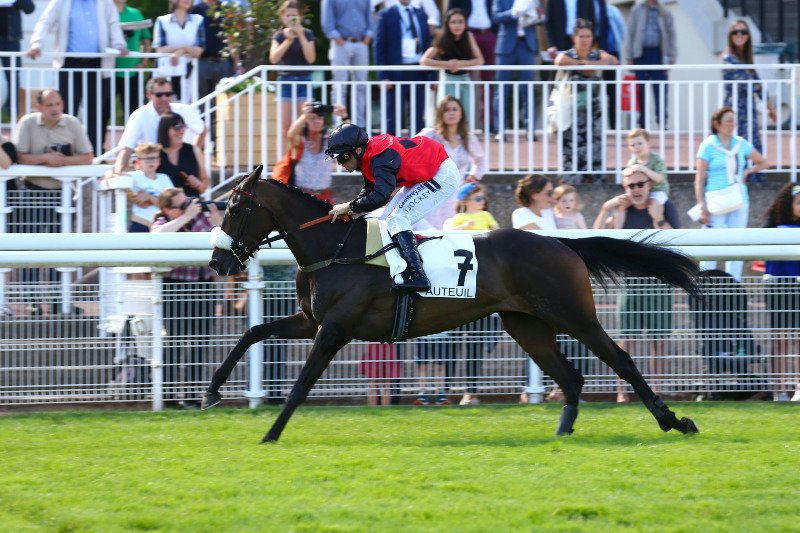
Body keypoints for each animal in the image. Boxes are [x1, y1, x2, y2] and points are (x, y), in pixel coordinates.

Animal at [206, 165, 700, 443]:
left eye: (235, 208)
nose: (217, 261)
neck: (335, 248)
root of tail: (560, 242)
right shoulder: (310, 321)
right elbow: (253, 332)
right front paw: (212, 391)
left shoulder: (334, 330)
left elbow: (301, 384)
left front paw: (271, 433)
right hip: (525, 324)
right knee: (570, 376)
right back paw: (563, 431)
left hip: (574, 315)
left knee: (621, 360)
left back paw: (674, 421)